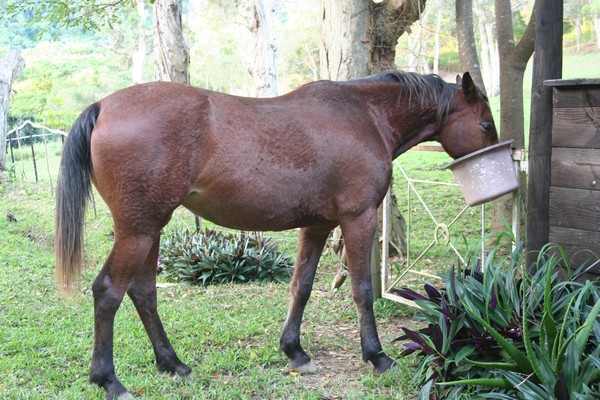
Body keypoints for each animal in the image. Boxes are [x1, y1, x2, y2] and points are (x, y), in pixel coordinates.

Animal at [55, 70, 496, 398]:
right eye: (485, 123)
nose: (500, 158)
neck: (365, 115)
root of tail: (103, 106)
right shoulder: (359, 219)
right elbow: (362, 290)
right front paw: (376, 356)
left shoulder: (317, 225)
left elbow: (301, 286)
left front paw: (294, 351)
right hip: (139, 232)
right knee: (108, 291)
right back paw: (109, 381)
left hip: (149, 232)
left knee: (143, 292)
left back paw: (173, 364)